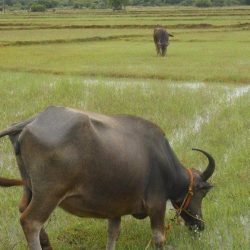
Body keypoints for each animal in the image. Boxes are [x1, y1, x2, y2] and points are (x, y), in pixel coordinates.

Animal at [0, 106, 215, 250]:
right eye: (202, 193)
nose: (200, 225)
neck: (164, 162)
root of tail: (30, 122)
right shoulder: (156, 205)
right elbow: (159, 239)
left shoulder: (115, 209)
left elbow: (113, 234)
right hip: (49, 194)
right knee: (30, 222)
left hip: (30, 188)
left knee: (23, 209)